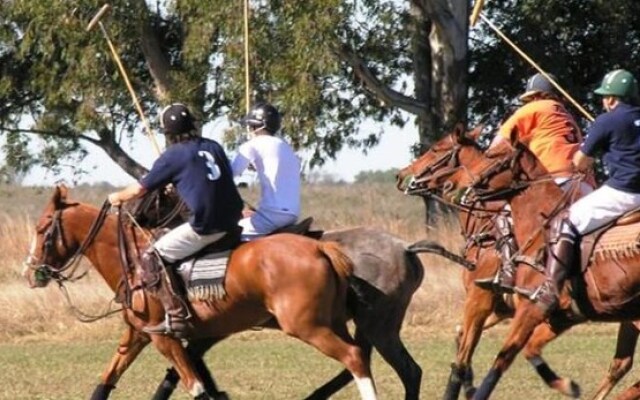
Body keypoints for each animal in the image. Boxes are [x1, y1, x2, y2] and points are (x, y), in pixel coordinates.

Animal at [22, 186, 378, 398]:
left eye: (41, 230)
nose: (30, 272)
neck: (132, 260)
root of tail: (321, 249)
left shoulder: (164, 337)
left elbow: (196, 387)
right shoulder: (139, 334)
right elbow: (107, 378)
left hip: (307, 326)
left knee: (354, 357)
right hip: (332, 321)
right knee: (359, 357)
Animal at [149, 227, 456, 398]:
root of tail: (406, 248)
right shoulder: (207, 332)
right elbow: (186, 364)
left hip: (373, 324)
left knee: (394, 367)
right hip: (372, 324)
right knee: (387, 366)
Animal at [420, 130, 640, 398]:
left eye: (437, 149)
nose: (402, 177)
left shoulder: (490, 299)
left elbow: (488, 356)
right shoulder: (545, 313)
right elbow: (470, 338)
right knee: (621, 364)